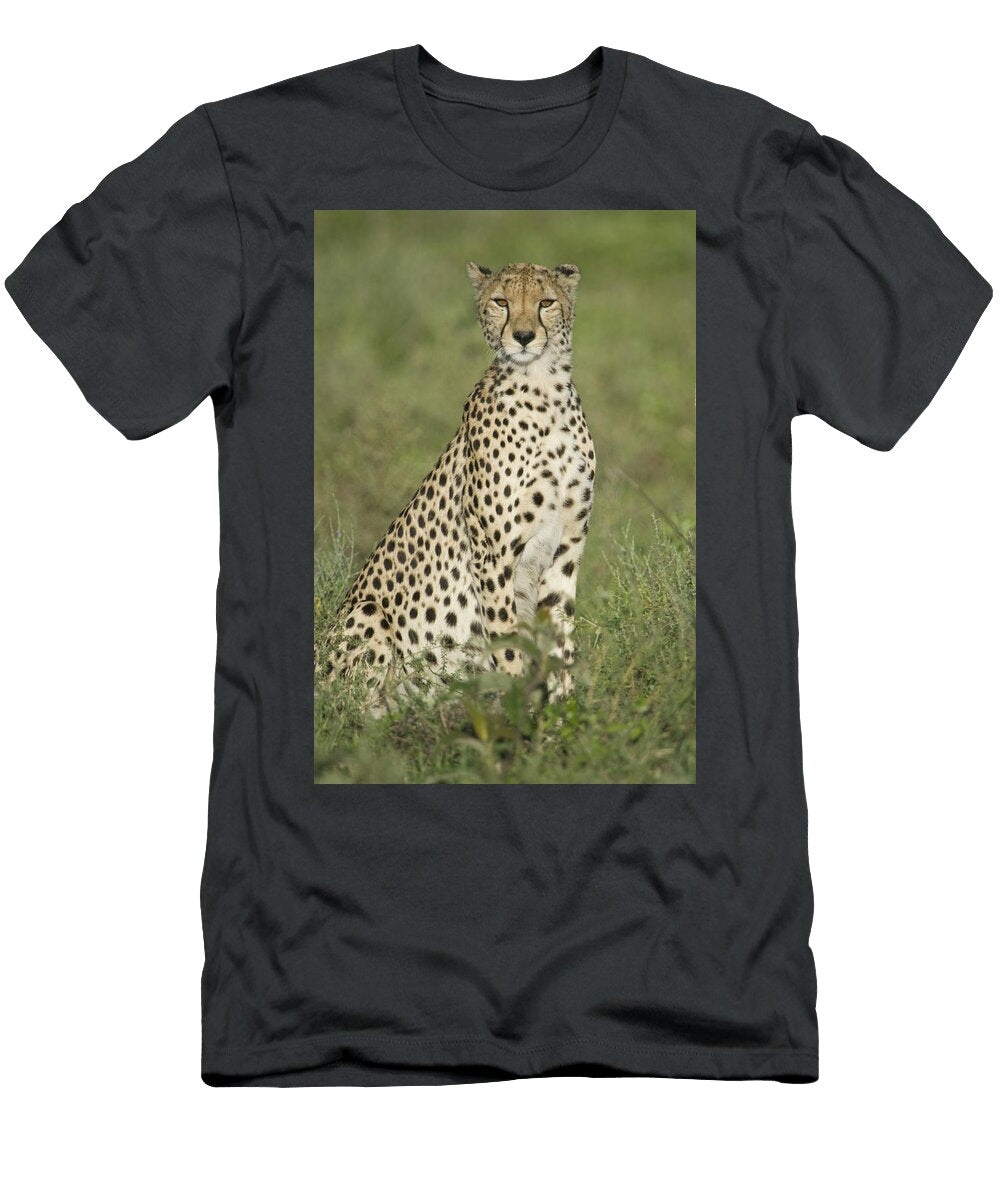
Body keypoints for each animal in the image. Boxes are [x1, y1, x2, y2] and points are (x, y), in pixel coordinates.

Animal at [328, 260, 595, 710]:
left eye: (546, 302)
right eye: (501, 302)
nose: (524, 336)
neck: (543, 388)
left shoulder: (566, 549)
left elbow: (559, 645)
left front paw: (562, 719)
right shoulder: (493, 555)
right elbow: (508, 645)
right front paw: (520, 718)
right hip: (366, 613)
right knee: (351, 715)